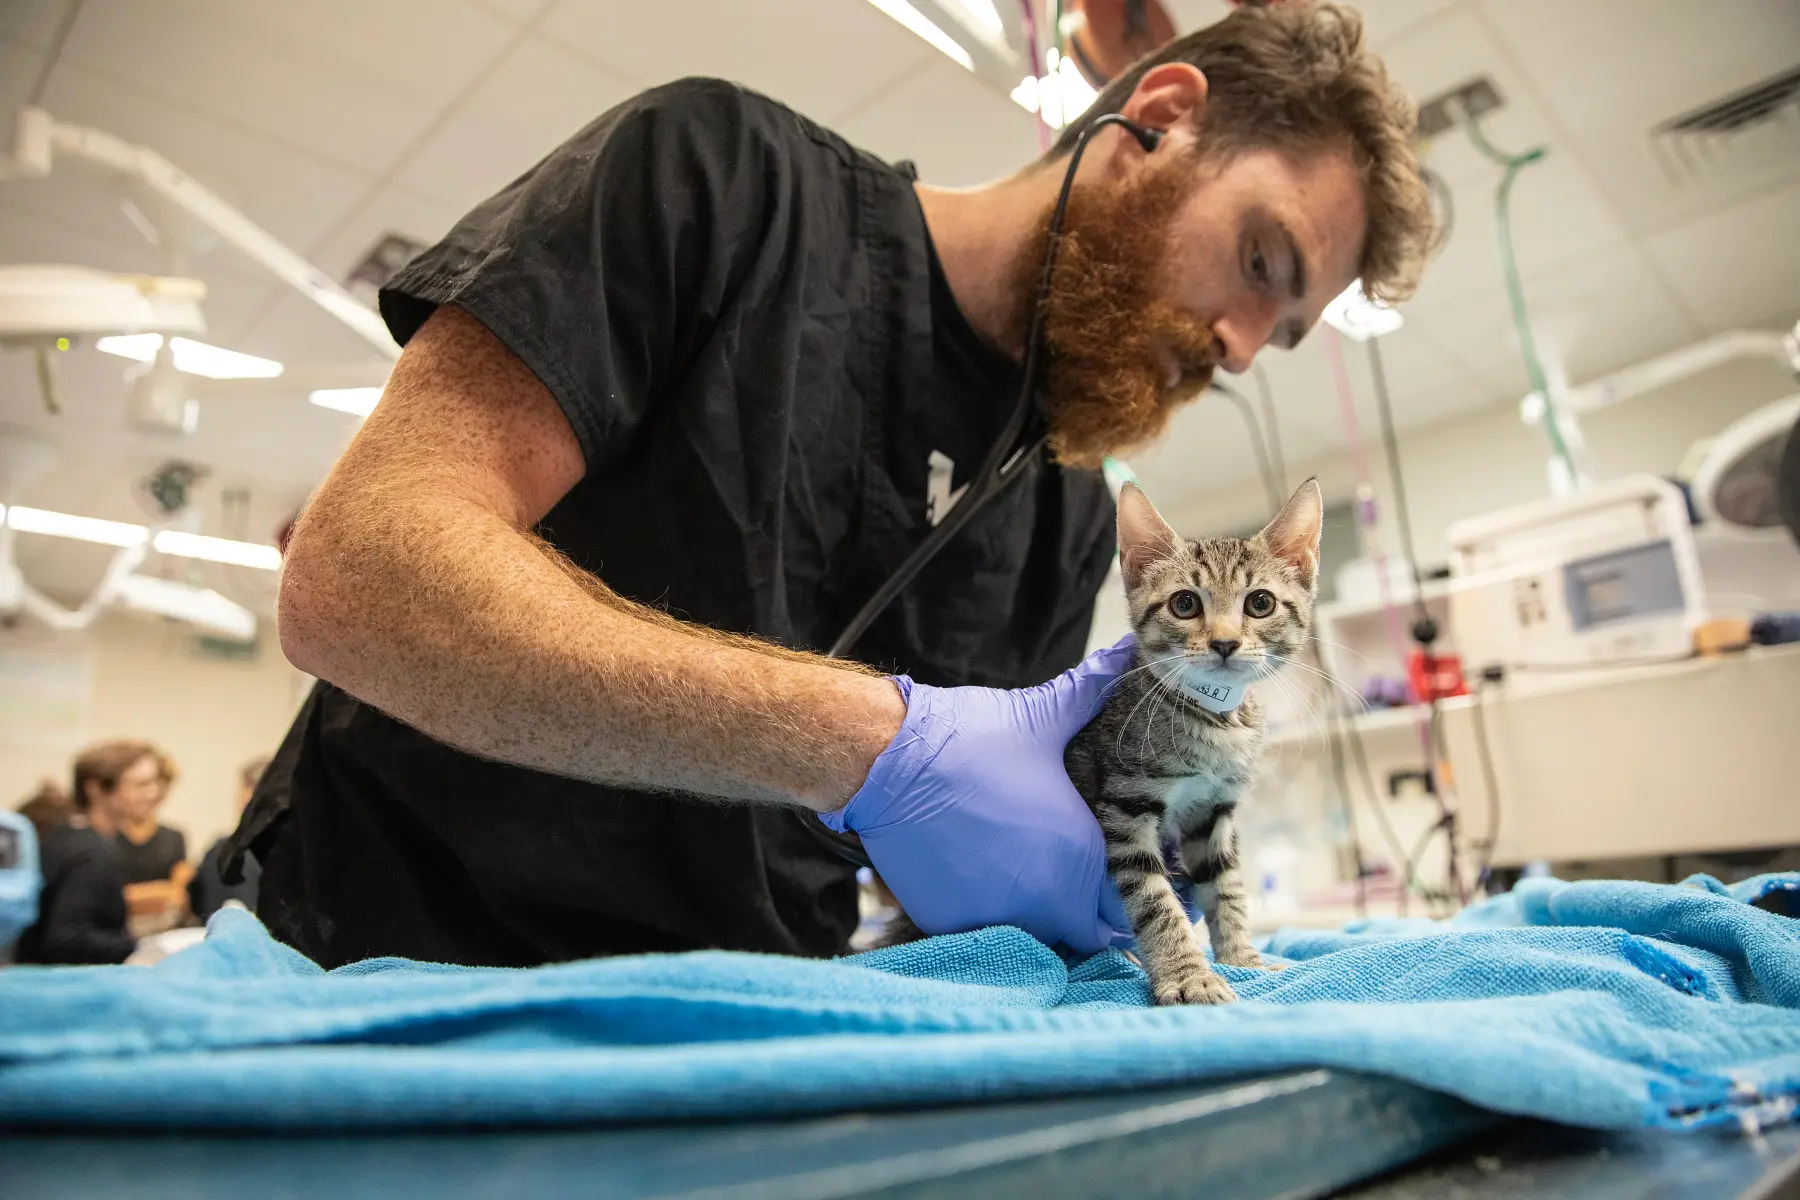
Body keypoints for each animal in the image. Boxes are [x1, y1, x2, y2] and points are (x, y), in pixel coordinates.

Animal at [1065, 478, 1324, 1007]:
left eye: (1260, 602)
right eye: (1184, 604)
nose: (1225, 642)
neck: (1213, 722)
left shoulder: (1213, 811)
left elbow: (1226, 884)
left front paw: (1242, 958)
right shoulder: (1125, 805)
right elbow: (1154, 899)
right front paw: (1188, 975)